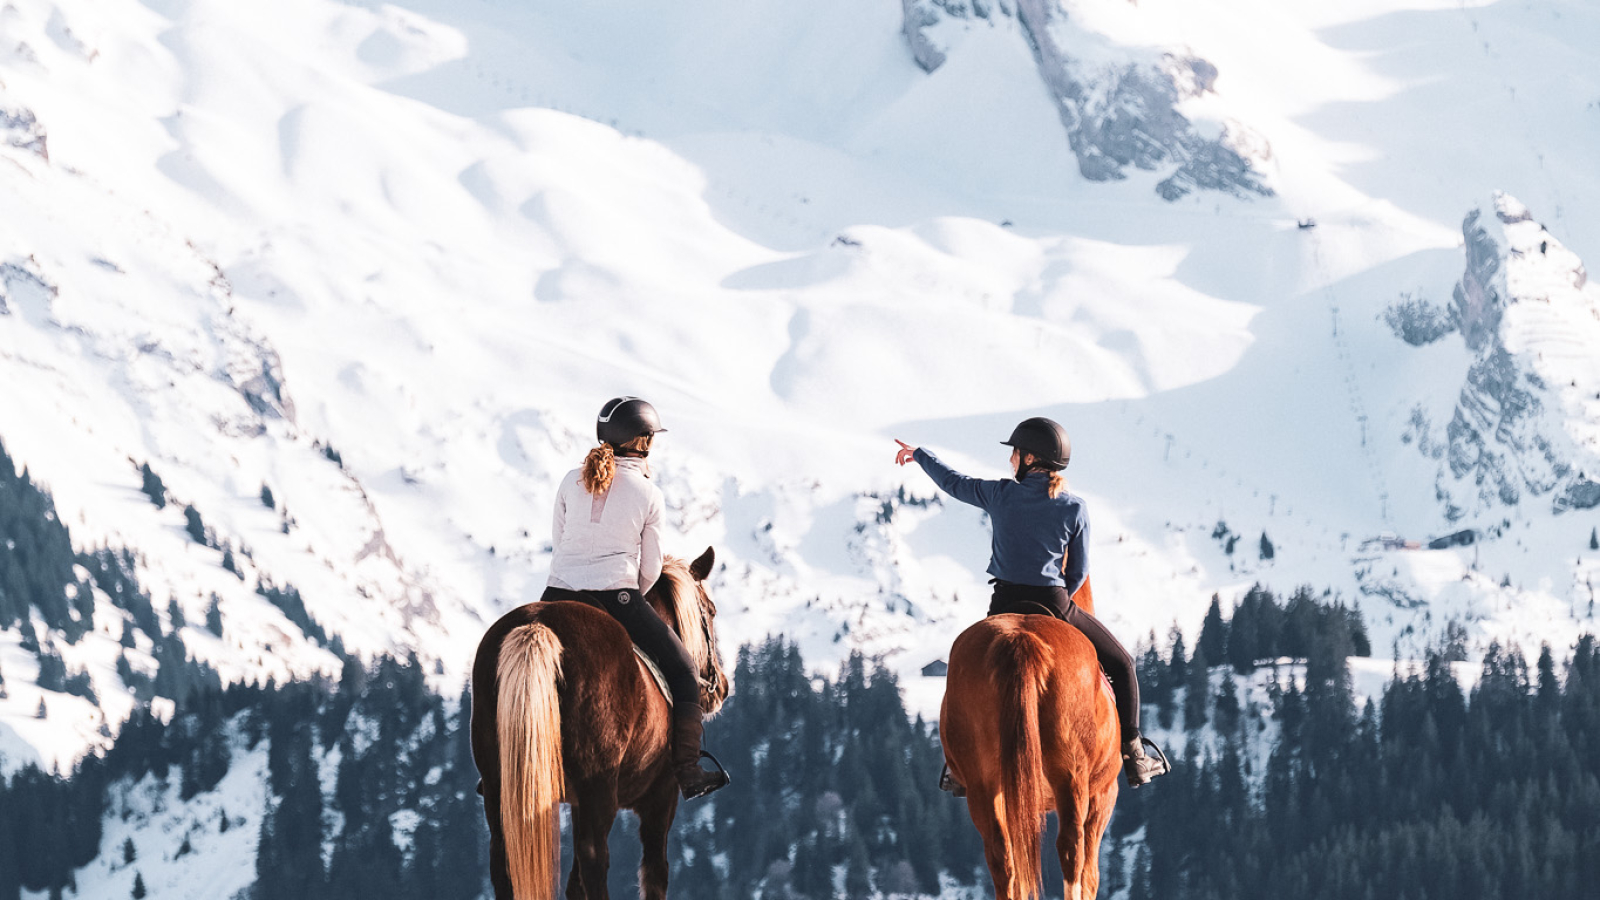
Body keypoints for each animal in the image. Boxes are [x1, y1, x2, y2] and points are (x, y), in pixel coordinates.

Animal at [470, 544, 729, 896]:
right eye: (711, 611)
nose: (722, 687)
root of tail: (538, 626)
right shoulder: (661, 796)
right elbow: (655, 872)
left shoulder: (577, 802)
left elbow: (573, 884)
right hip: (599, 786)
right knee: (594, 857)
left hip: (502, 785)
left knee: (504, 857)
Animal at [940, 573, 1120, 896]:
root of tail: (1020, 640)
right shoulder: (1104, 793)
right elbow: (1091, 874)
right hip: (1072, 776)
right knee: (1072, 850)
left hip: (985, 784)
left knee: (1001, 855)